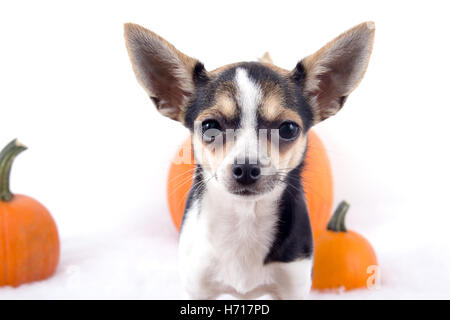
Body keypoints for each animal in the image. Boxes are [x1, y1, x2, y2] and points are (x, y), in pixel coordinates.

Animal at [123, 21, 372, 298]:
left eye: (288, 129)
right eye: (210, 127)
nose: (246, 168)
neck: (245, 218)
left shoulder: (293, 284)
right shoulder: (197, 286)